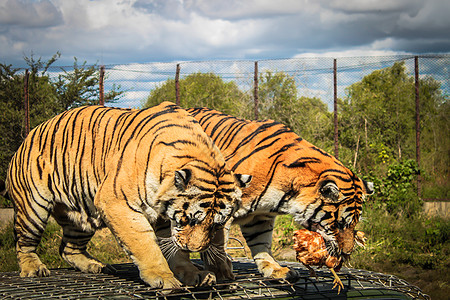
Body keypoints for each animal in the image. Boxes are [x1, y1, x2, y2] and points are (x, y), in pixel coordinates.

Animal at [1, 102, 251, 290]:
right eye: (188, 219)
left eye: (216, 225)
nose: (194, 248)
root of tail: (29, 135)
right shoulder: (116, 202)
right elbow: (145, 244)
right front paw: (164, 277)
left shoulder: (163, 217)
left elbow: (172, 247)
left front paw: (192, 273)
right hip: (32, 207)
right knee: (24, 242)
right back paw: (33, 269)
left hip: (82, 216)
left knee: (67, 248)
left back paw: (94, 265)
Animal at [186, 107, 372, 282]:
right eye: (339, 224)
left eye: (354, 224)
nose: (347, 253)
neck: (286, 196)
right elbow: (216, 242)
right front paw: (221, 272)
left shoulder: (260, 217)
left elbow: (261, 244)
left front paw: (275, 269)